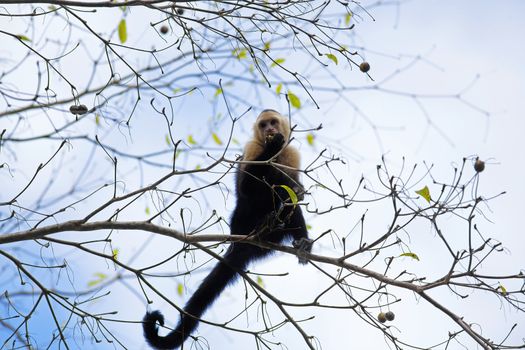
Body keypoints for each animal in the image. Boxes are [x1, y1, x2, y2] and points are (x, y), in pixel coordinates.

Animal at [143, 108, 312, 348]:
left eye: (273, 122)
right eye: (263, 125)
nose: (270, 130)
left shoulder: (291, 153)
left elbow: (293, 186)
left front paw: (295, 188)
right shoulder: (253, 148)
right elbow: (247, 187)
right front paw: (272, 151)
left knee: (291, 206)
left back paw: (301, 241)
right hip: (240, 223)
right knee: (255, 198)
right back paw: (265, 222)